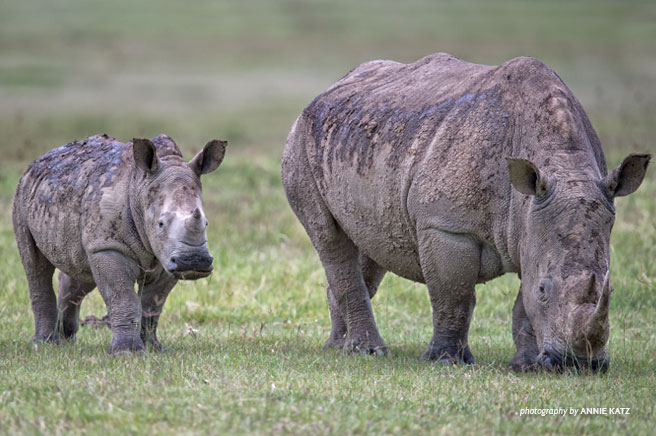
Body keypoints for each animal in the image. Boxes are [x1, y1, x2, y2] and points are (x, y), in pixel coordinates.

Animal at [12, 134, 227, 353]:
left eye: (206, 223)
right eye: (160, 223)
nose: (194, 261)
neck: (141, 190)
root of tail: (38, 161)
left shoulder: (166, 257)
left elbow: (152, 304)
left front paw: (153, 348)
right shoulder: (110, 247)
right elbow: (121, 296)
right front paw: (127, 352)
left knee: (81, 270)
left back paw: (66, 341)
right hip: (22, 195)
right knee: (35, 265)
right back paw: (43, 344)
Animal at [282, 53, 651, 371]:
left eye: (611, 291)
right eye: (545, 290)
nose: (580, 365)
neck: (562, 165)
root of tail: (329, 89)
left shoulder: (530, 228)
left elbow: (522, 305)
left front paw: (526, 366)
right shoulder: (446, 226)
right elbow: (454, 295)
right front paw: (446, 361)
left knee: (370, 246)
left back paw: (339, 347)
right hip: (300, 141)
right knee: (331, 239)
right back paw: (369, 351)